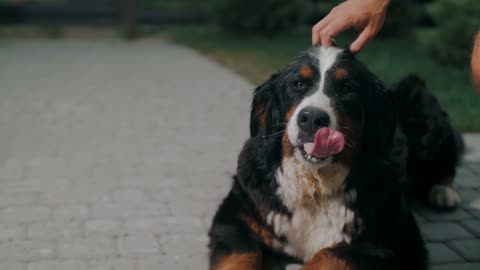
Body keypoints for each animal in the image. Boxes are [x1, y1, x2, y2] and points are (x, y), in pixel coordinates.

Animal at [208, 46, 464, 270]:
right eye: (298, 84)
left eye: (347, 88)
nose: (312, 118)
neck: (314, 187)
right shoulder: (235, 220)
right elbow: (238, 258)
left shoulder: (394, 241)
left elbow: (328, 254)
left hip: (422, 108)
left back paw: (444, 191)